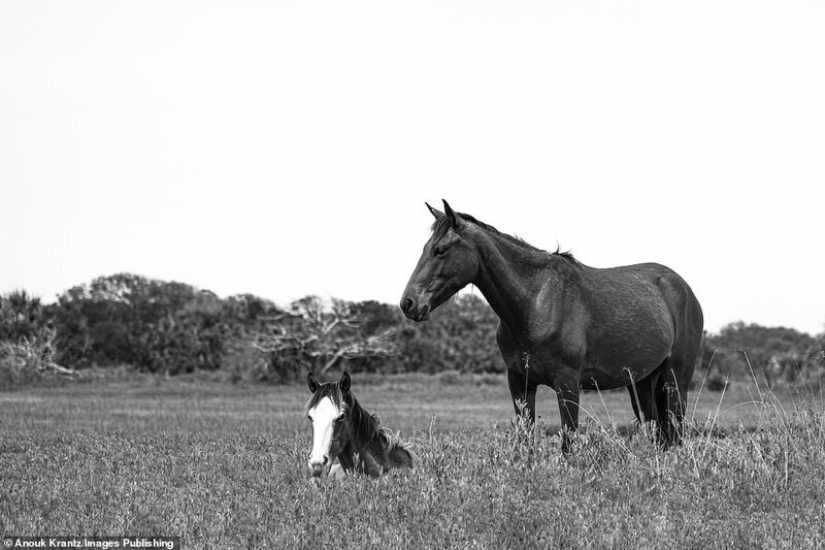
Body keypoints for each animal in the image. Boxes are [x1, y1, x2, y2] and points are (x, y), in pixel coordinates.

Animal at [400, 200, 703, 451]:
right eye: (425, 248)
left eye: (440, 250)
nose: (409, 303)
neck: (535, 305)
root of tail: (684, 288)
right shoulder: (519, 383)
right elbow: (525, 441)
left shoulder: (567, 383)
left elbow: (568, 443)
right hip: (641, 382)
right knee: (658, 434)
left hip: (675, 380)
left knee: (675, 432)